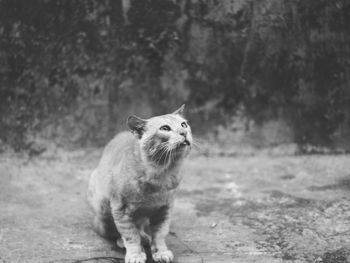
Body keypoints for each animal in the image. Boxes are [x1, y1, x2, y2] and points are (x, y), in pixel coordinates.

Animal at [87, 105, 191, 263]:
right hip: (103, 206)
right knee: (109, 230)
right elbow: (130, 235)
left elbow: (160, 233)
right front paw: (135, 254)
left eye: (183, 125)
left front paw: (161, 251)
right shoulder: (121, 209)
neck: (161, 172)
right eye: (165, 128)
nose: (184, 133)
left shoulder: (165, 208)